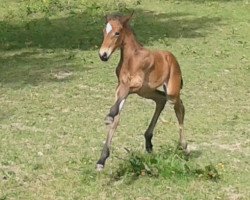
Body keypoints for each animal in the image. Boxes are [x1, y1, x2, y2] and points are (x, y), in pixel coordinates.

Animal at [95, 13, 188, 171]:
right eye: (103, 31)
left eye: (117, 33)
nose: (103, 55)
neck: (131, 59)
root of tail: (171, 57)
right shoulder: (120, 87)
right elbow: (117, 118)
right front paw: (101, 160)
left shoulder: (134, 86)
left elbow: (116, 110)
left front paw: (108, 116)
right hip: (147, 92)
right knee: (160, 100)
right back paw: (148, 141)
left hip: (171, 91)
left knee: (179, 107)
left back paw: (183, 146)